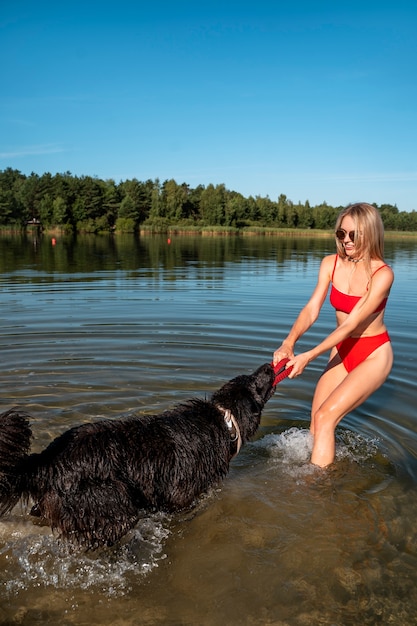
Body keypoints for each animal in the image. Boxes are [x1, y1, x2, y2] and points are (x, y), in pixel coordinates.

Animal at [0, 360, 274, 544]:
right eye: (255, 383)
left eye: (251, 376)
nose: (268, 366)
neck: (223, 420)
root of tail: (47, 460)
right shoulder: (180, 498)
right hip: (112, 503)